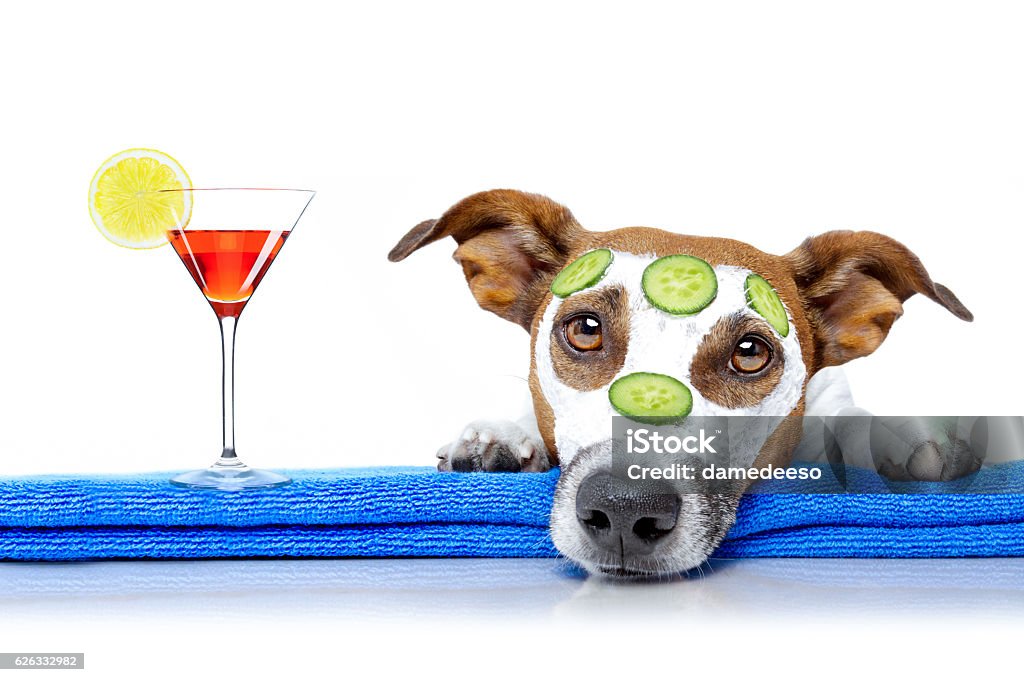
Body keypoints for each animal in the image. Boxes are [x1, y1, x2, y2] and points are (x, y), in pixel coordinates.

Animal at [389, 188, 974, 577]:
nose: (624, 509)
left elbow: (848, 418)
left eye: (750, 353)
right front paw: (502, 438)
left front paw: (900, 437)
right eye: (584, 329)